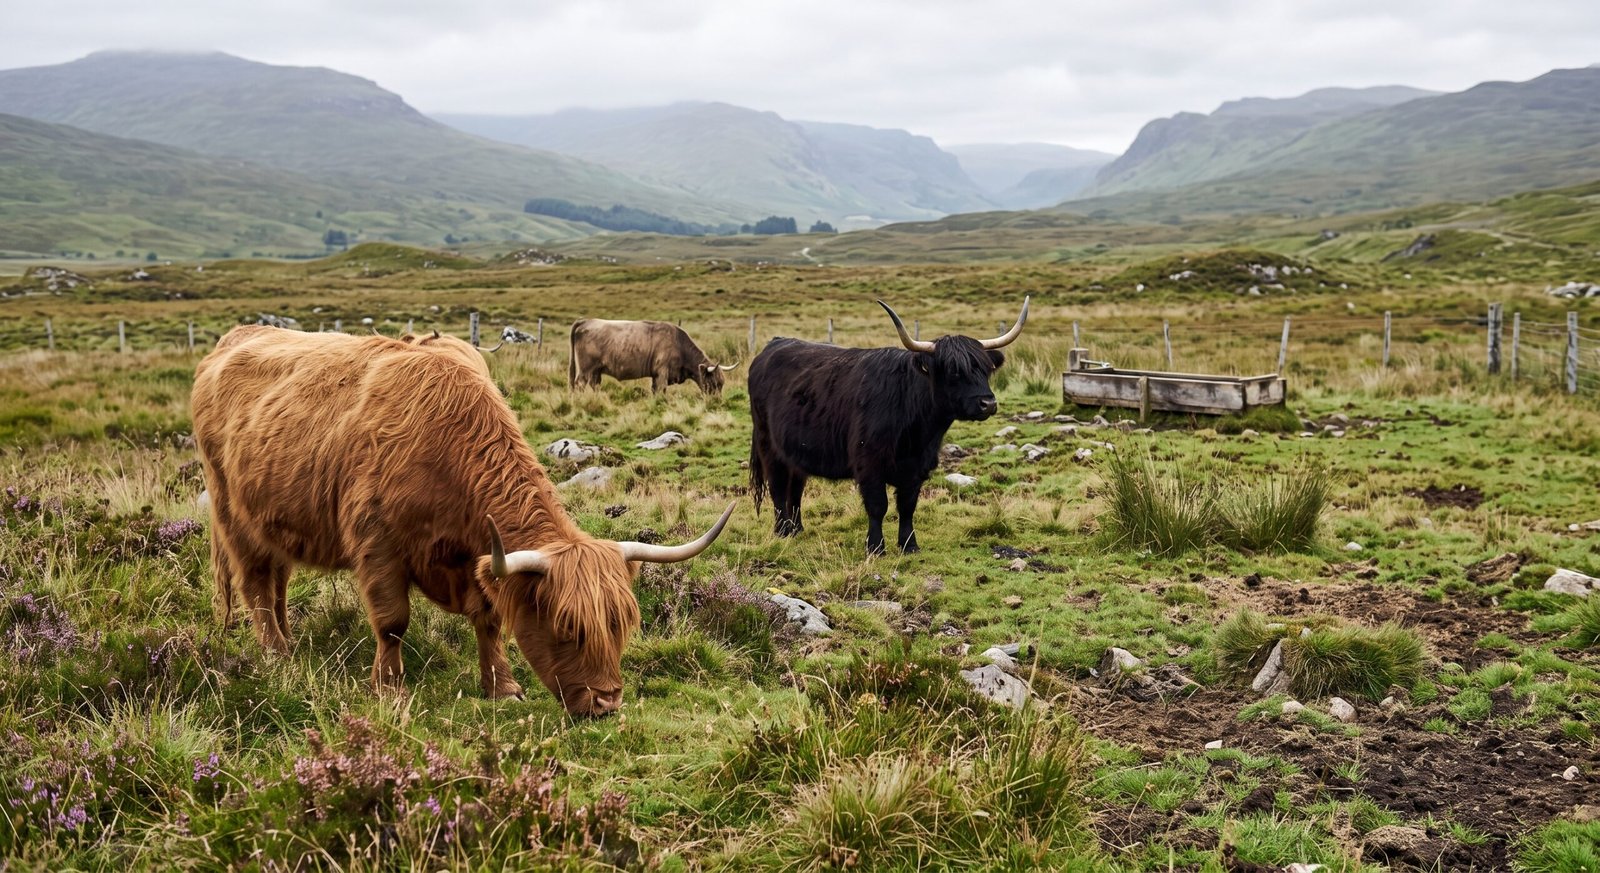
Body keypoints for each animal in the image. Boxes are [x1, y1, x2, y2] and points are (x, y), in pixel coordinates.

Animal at [191, 325, 734, 717]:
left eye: (622, 622)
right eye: (566, 625)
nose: (606, 703)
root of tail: (234, 336)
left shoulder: (478, 560)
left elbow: (488, 620)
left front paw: (503, 686)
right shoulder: (377, 547)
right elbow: (392, 623)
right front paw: (390, 690)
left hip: (278, 520)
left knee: (278, 581)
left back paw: (290, 641)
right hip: (233, 514)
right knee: (256, 584)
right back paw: (276, 653)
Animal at [569, 318, 736, 394]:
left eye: (721, 384)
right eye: (714, 383)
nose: (716, 402)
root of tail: (586, 320)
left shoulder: (656, 376)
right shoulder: (662, 373)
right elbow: (661, 391)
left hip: (596, 371)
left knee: (594, 384)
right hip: (585, 369)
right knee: (580, 384)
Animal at [748, 298, 1028, 555]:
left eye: (985, 369)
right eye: (953, 371)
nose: (988, 403)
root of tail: (773, 345)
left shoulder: (917, 467)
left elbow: (907, 506)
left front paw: (909, 545)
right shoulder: (869, 463)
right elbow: (877, 505)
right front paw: (875, 547)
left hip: (795, 448)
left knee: (796, 487)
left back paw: (797, 528)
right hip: (768, 443)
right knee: (777, 485)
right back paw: (783, 530)